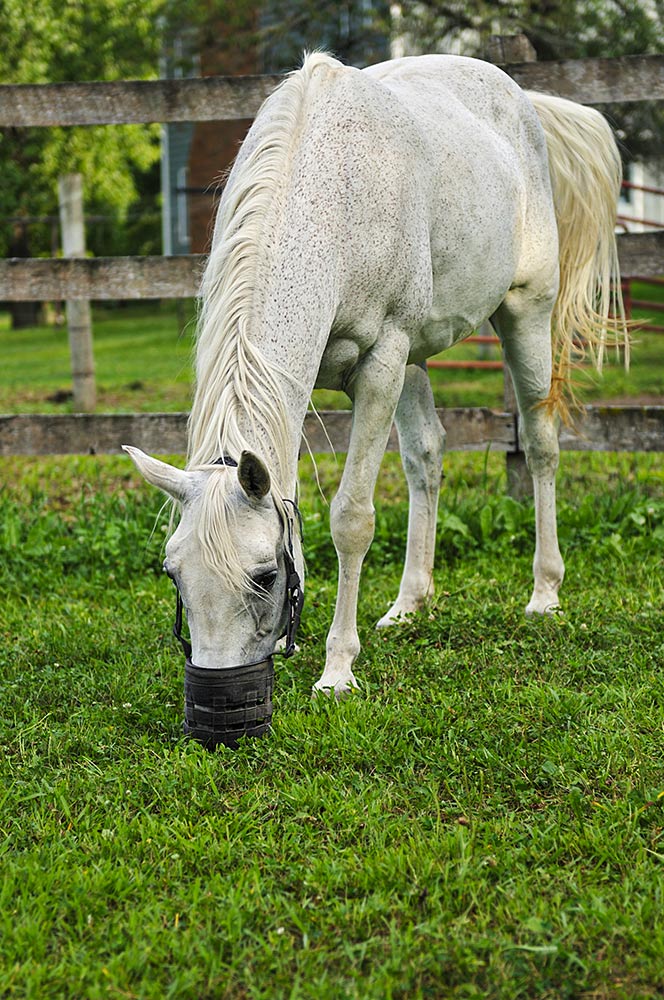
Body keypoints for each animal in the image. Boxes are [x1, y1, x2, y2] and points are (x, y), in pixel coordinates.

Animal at [125, 52, 625, 747]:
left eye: (265, 575)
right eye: (174, 573)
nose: (220, 712)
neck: (332, 197)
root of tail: (519, 95)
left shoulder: (383, 362)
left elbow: (351, 519)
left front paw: (337, 670)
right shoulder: (336, 376)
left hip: (524, 312)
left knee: (541, 442)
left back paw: (544, 593)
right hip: (418, 357)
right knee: (426, 457)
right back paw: (410, 603)